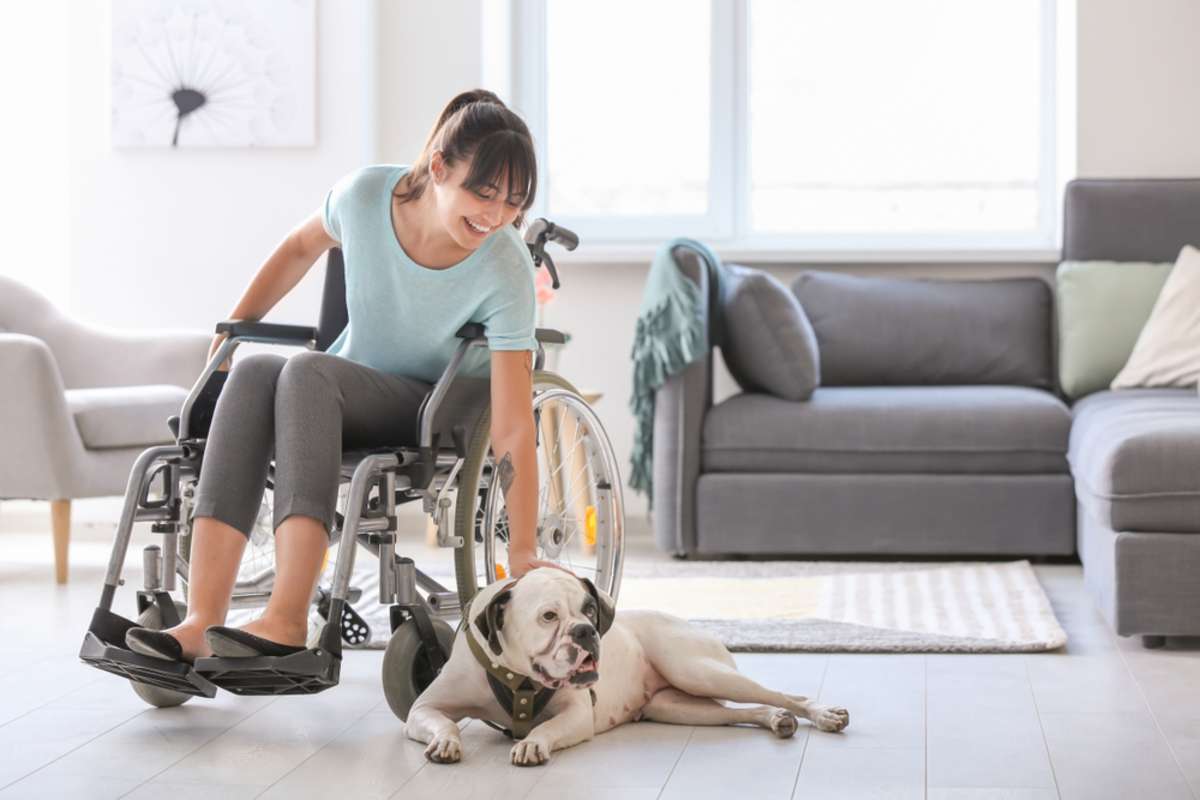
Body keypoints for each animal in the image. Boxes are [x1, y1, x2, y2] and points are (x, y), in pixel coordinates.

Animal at [408, 566, 849, 767]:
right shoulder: (423, 710)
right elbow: (444, 722)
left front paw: (532, 742)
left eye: (590, 609)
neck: (520, 679)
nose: (586, 631)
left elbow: (547, 727)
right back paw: (776, 720)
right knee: (749, 710)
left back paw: (823, 714)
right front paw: (446, 742)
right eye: (548, 616)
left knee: (785, 695)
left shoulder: (576, 715)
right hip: (678, 706)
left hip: (697, 670)